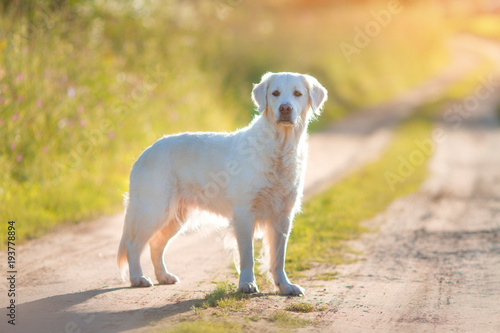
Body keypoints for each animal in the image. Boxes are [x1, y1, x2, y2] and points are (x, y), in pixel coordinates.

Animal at [117, 71, 328, 294]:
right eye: (275, 93)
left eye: (298, 93)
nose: (285, 108)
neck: (280, 146)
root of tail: (145, 152)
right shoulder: (244, 213)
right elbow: (247, 255)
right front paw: (247, 284)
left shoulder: (283, 215)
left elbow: (278, 258)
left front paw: (285, 286)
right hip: (153, 210)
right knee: (133, 245)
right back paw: (138, 278)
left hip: (176, 217)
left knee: (156, 244)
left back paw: (164, 276)